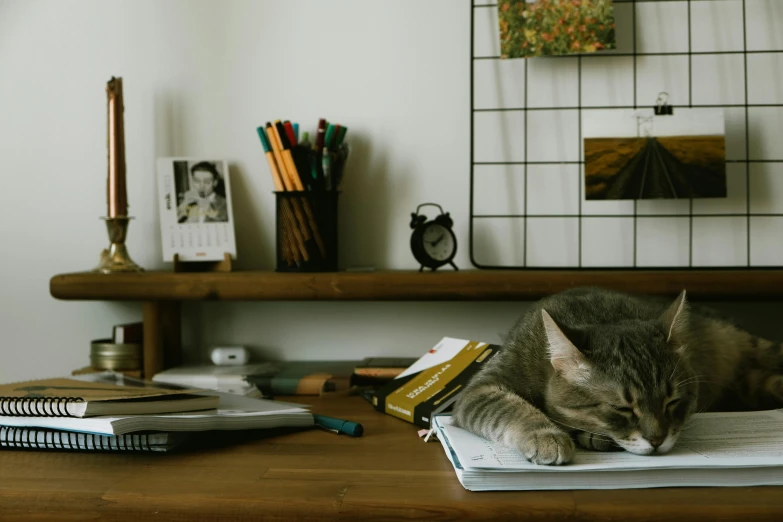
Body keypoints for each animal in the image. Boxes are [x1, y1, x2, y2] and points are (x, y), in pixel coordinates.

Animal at [450, 286, 783, 466]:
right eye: (622, 408)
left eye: (672, 402)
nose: (657, 440)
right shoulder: (481, 389)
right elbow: (511, 407)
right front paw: (547, 434)